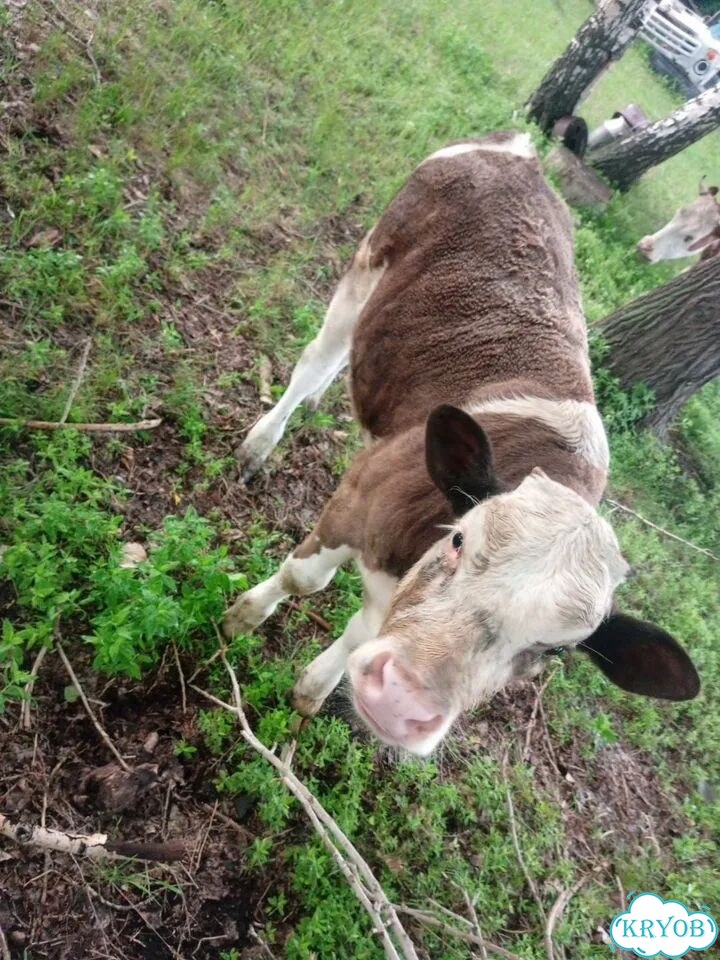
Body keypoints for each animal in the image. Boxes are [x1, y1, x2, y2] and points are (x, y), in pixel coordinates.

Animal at [224, 132, 700, 757]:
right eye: (458, 541)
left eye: (554, 651)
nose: (401, 701)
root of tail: (521, 151)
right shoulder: (358, 496)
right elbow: (304, 578)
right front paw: (240, 619)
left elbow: (355, 638)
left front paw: (308, 696)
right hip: (369, 261)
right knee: (317, 357)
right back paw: (261, 443)